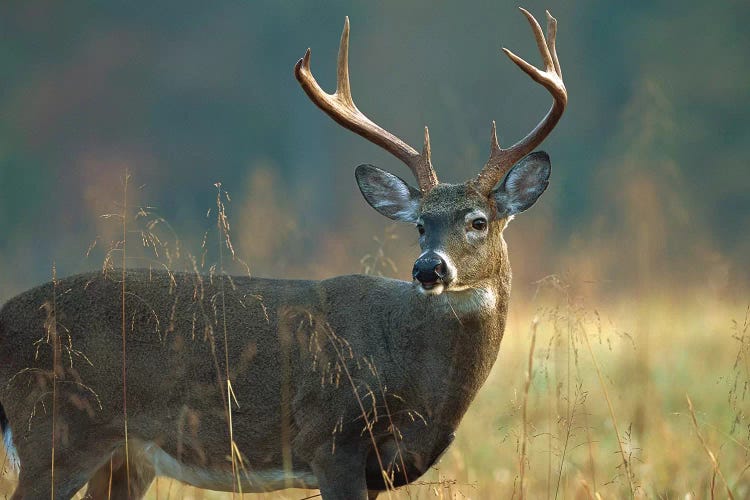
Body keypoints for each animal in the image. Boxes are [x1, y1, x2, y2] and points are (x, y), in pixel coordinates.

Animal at [0, 8, 564, 500]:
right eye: (421, 225)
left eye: (478, 221)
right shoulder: (332, 442)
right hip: (55, 433)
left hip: (122, 456)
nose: (429, 268)